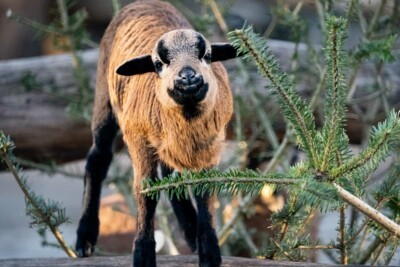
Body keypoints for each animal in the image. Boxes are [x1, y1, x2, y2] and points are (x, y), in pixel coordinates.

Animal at [77, 1, 242, 266]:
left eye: (206, 55)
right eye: (157, 64)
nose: (188, 78)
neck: (187, 120)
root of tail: (145, 3)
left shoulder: (211, 147)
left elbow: (205, 193)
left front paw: (209, 252)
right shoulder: (140, 142)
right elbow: (146, 191)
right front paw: (143, 254)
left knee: (169, 172)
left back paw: (190, 229)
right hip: (104, 101)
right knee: (98, 158)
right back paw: (85, 238)